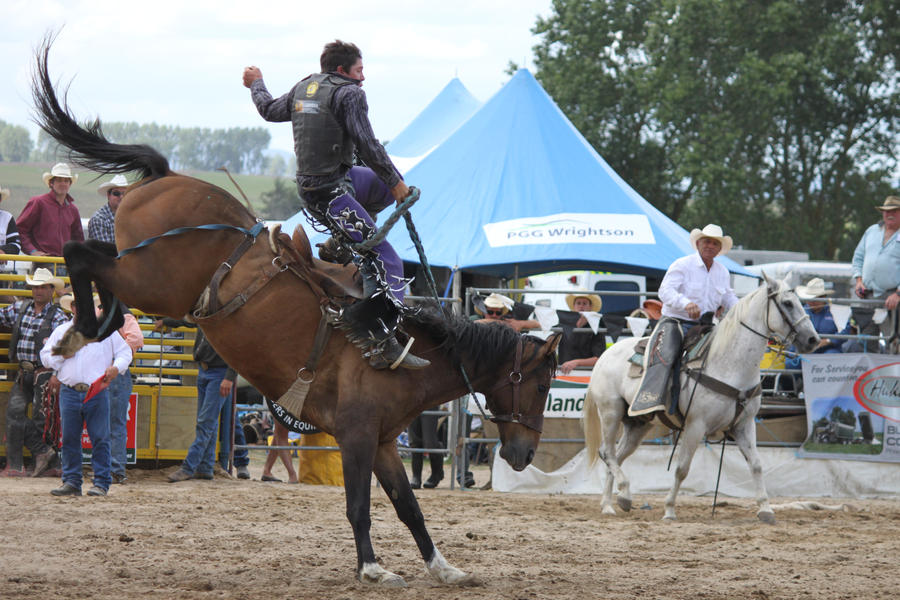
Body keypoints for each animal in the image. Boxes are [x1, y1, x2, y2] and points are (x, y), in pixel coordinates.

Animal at [31, 34, 560, 584]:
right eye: (541, 383)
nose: (524, 454)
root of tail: (167, 176)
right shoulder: (355, 436)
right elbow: (359, 506)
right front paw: (372, 568)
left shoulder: (384, 441)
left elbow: (408, 506)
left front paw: (444, 567)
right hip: (153, 279)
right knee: (78, 252)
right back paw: (82, 328)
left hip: (139, 267)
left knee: (94, 260)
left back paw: (91, 326)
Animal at [584, 274, 824, 524]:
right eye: (788, 303)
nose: (813, 339)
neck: (729, 363)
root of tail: (605, 355)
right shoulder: (695, 425)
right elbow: (682, 468)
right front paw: (669, 510)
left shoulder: (744, 425)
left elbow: (757, 465)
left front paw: (766, 510)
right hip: (610, 412)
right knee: (607, 453)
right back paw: (623, 494)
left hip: (638, 424)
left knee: (617, 457)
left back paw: (611, 503)